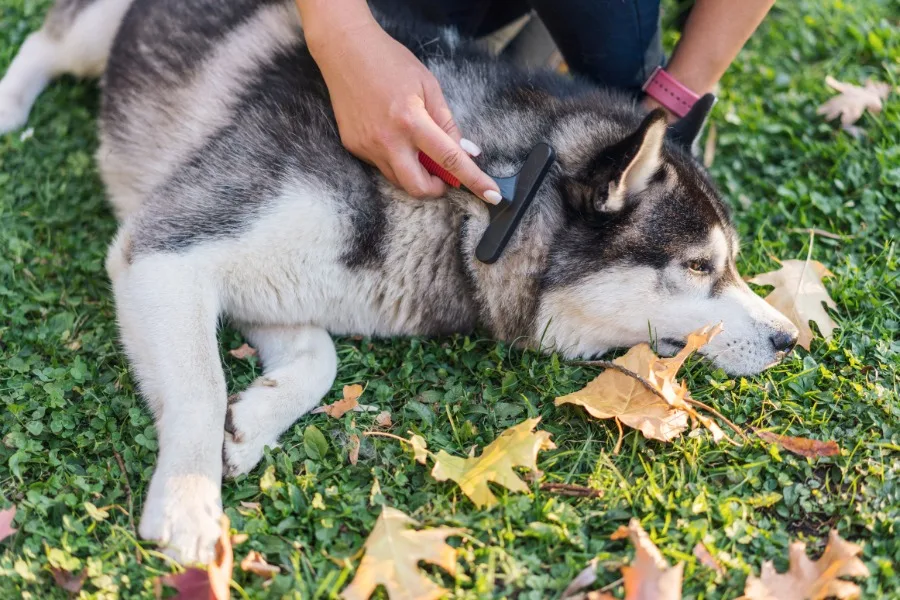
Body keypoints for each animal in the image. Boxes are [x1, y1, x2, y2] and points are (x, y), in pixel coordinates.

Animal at [3, 0, 800, 564]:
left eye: (732, 264)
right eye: (697, 268)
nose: (791, 338)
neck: (483, 207)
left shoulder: (276, 283)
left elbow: (318, 359)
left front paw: (251, 422)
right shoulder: (165, 250)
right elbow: (200, 387)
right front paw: (189, 506)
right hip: (99, 35)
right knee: (48, 41)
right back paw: (11, 104)